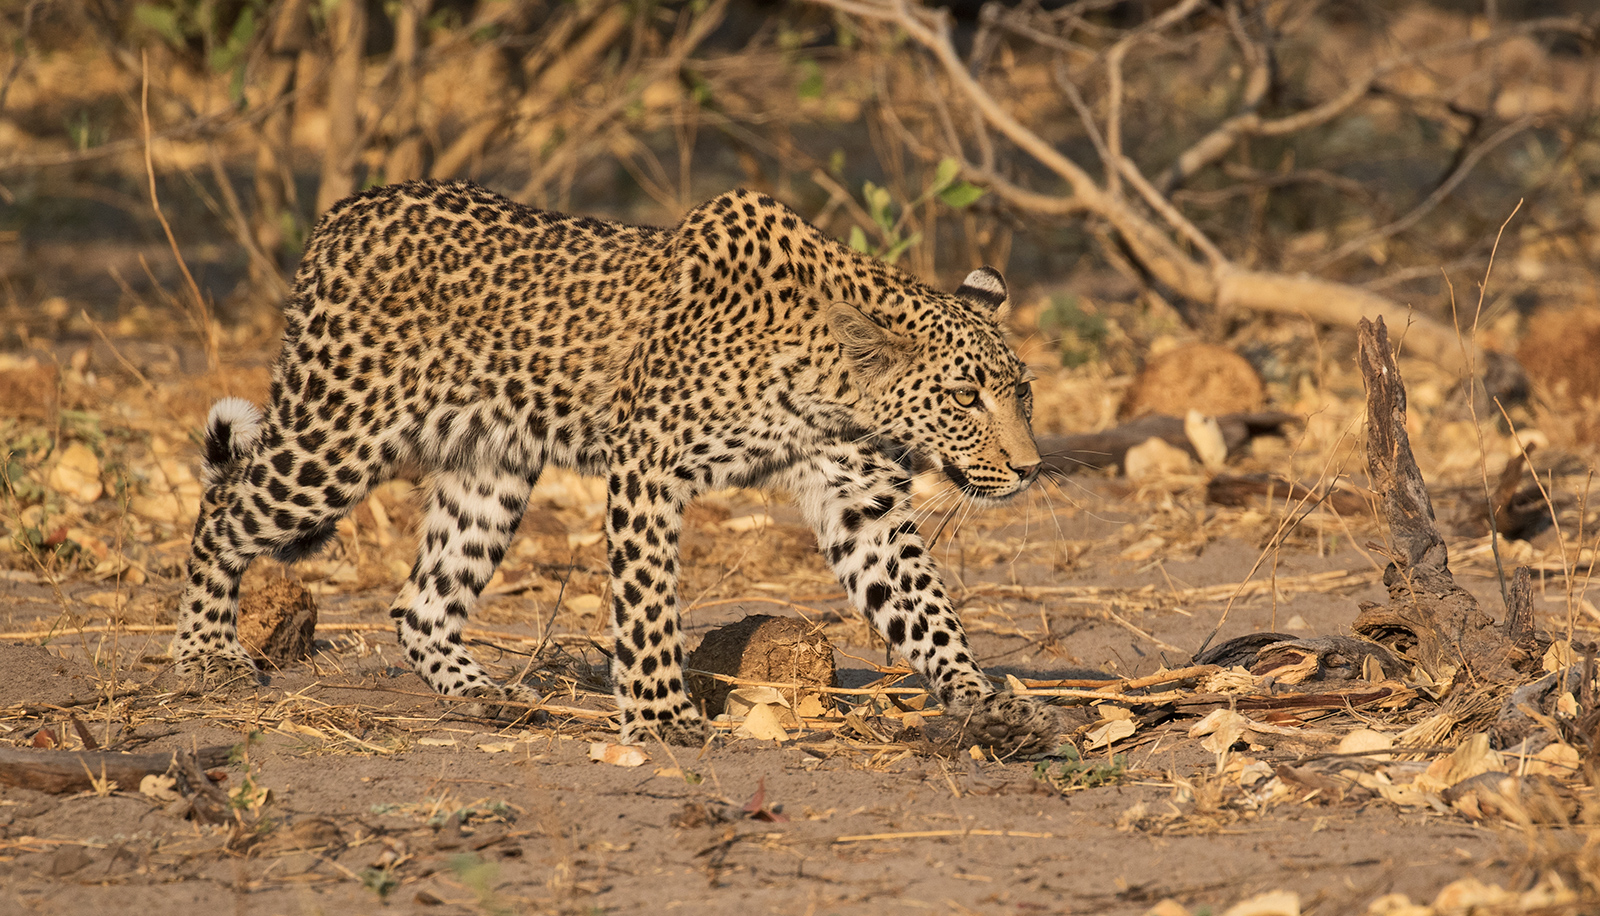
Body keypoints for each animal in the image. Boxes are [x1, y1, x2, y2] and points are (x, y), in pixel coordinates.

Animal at [172, 179, 1058, 752]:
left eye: (1021, 393)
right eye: (964, 397)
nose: (1029, 469)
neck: (825, 383)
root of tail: (342, 215)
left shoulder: (860, 501)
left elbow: (927, 612)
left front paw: (987, 704)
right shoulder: (648, 465)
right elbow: (646, 603)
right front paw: (663, 718)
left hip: (490, 468)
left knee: (421, 601)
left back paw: (488, 695)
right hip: (336, 439)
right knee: (222, 510)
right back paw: (206, 656)